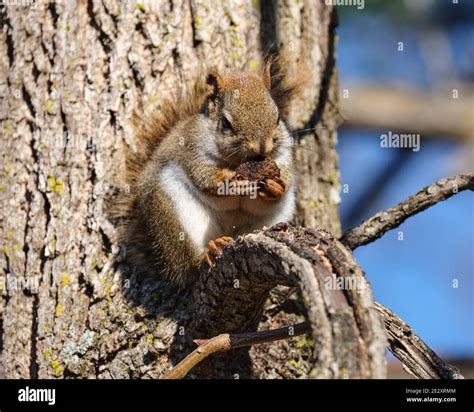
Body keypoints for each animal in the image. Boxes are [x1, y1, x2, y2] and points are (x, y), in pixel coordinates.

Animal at [115, 56, 304, 286]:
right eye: (226, 123)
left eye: (277, 118)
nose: (261, 147)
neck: (237, 162)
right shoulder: (192, 148)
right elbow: (204, 177)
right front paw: (232, 184)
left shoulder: (284, 155)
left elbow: (285, 178)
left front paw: (275, 186)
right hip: (171, 212)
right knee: (187, 264)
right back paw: (208, 253)